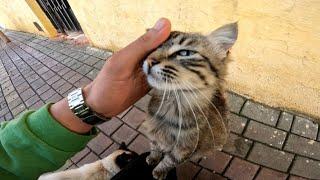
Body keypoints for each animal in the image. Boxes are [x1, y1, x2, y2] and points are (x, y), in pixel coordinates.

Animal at [141, 22, 238, 179]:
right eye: (154, 48)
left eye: (184, 53)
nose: (149, 61)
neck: (172, 103)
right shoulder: (154, 135)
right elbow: (154, 148)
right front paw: (152, 158)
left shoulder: (184, 151)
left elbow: (168, 162)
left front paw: (159, 172)